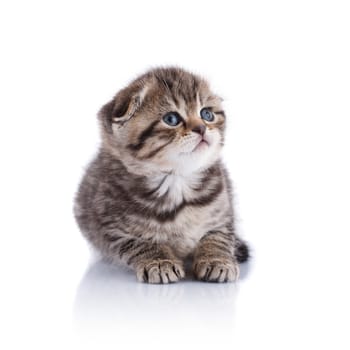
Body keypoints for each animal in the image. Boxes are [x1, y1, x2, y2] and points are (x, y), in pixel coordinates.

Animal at [74, 67, 249, 284]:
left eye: (207, 114)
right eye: (171, 119)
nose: (201, 128)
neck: (177, 181)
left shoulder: (224, 212)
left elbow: (218, 236)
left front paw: (217, 259)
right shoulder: (110, 227)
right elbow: (138, 243)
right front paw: (159, 262)